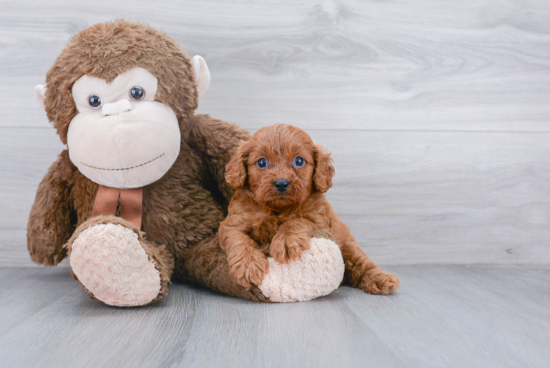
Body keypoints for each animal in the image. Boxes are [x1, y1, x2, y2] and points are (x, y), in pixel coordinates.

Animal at [219, 125, 402, 294]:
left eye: (299, 161)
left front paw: (285, 240)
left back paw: (381, 279)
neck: (277, 209)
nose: (281, 183)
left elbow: (298, 220)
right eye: (262, 162)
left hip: (348, 245)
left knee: (362, 264)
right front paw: (248, 266)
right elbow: (238, 239)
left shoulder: (320, 221)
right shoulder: (233, 223)